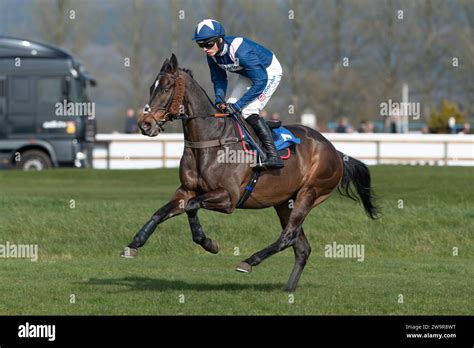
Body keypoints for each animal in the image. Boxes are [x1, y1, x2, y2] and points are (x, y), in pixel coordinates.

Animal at [120, 54, 380, 292]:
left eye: (166, 88)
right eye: (151, 88)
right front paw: (134, 243)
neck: (210, 141)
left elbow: (193, 206)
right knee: (301, 246)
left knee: (288, 236)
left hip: (310, 193)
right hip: (285, 202)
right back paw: (288, 290)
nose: (145, 124)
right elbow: (162, 212)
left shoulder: (229, 198)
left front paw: (208, 243)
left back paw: (248, 262)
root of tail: (334, 150)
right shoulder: (186, 190)